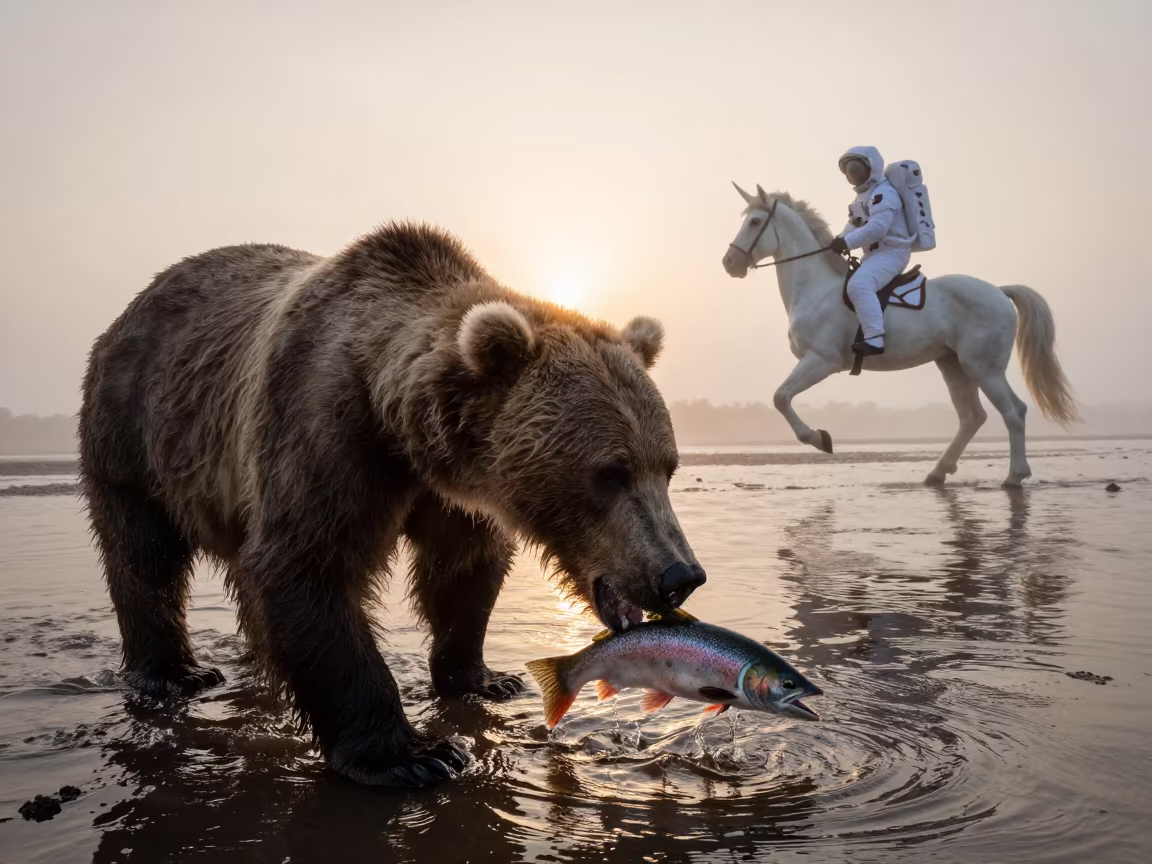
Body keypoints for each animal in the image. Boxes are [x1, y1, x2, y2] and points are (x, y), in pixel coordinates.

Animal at [78, 223, 706, 787]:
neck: (401, 427)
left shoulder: (456, 495)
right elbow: (308, 567)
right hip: (135, 434)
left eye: (667, 466)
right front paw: (413, 756)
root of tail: (133, 307)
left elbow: (462, 573)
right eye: (609, 473)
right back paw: (173, 675)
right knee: (144, 557)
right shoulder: (326, 436)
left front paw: (483, 678)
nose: (679, 575)